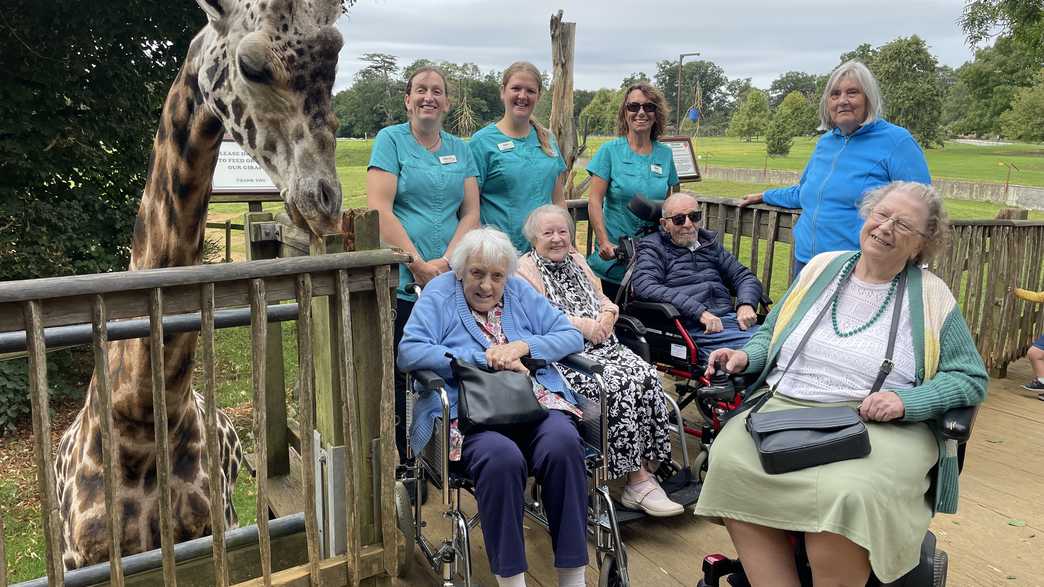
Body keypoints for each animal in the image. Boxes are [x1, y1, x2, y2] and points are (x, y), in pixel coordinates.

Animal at [52, 0, 344, 568]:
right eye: (251, 65)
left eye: (335, 58)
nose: (325, 200)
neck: (141, 423)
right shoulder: (82, 558)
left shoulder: (216, 530)